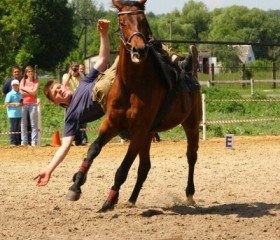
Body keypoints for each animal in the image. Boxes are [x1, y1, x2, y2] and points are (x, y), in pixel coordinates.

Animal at [65, 0, 201, 212]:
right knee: (145, 166)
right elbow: (93, 149)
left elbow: (123, 168)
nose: (139, 50)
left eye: (143, 20)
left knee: (191, 156)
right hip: (149, 135)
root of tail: (191, 76)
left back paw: (189, 194)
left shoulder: (138, 130)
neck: (131, 85)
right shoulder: (112, 123)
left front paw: (109, 201)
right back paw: (131, 198)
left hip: (191, 124)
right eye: (122, 23)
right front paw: (76, 185)